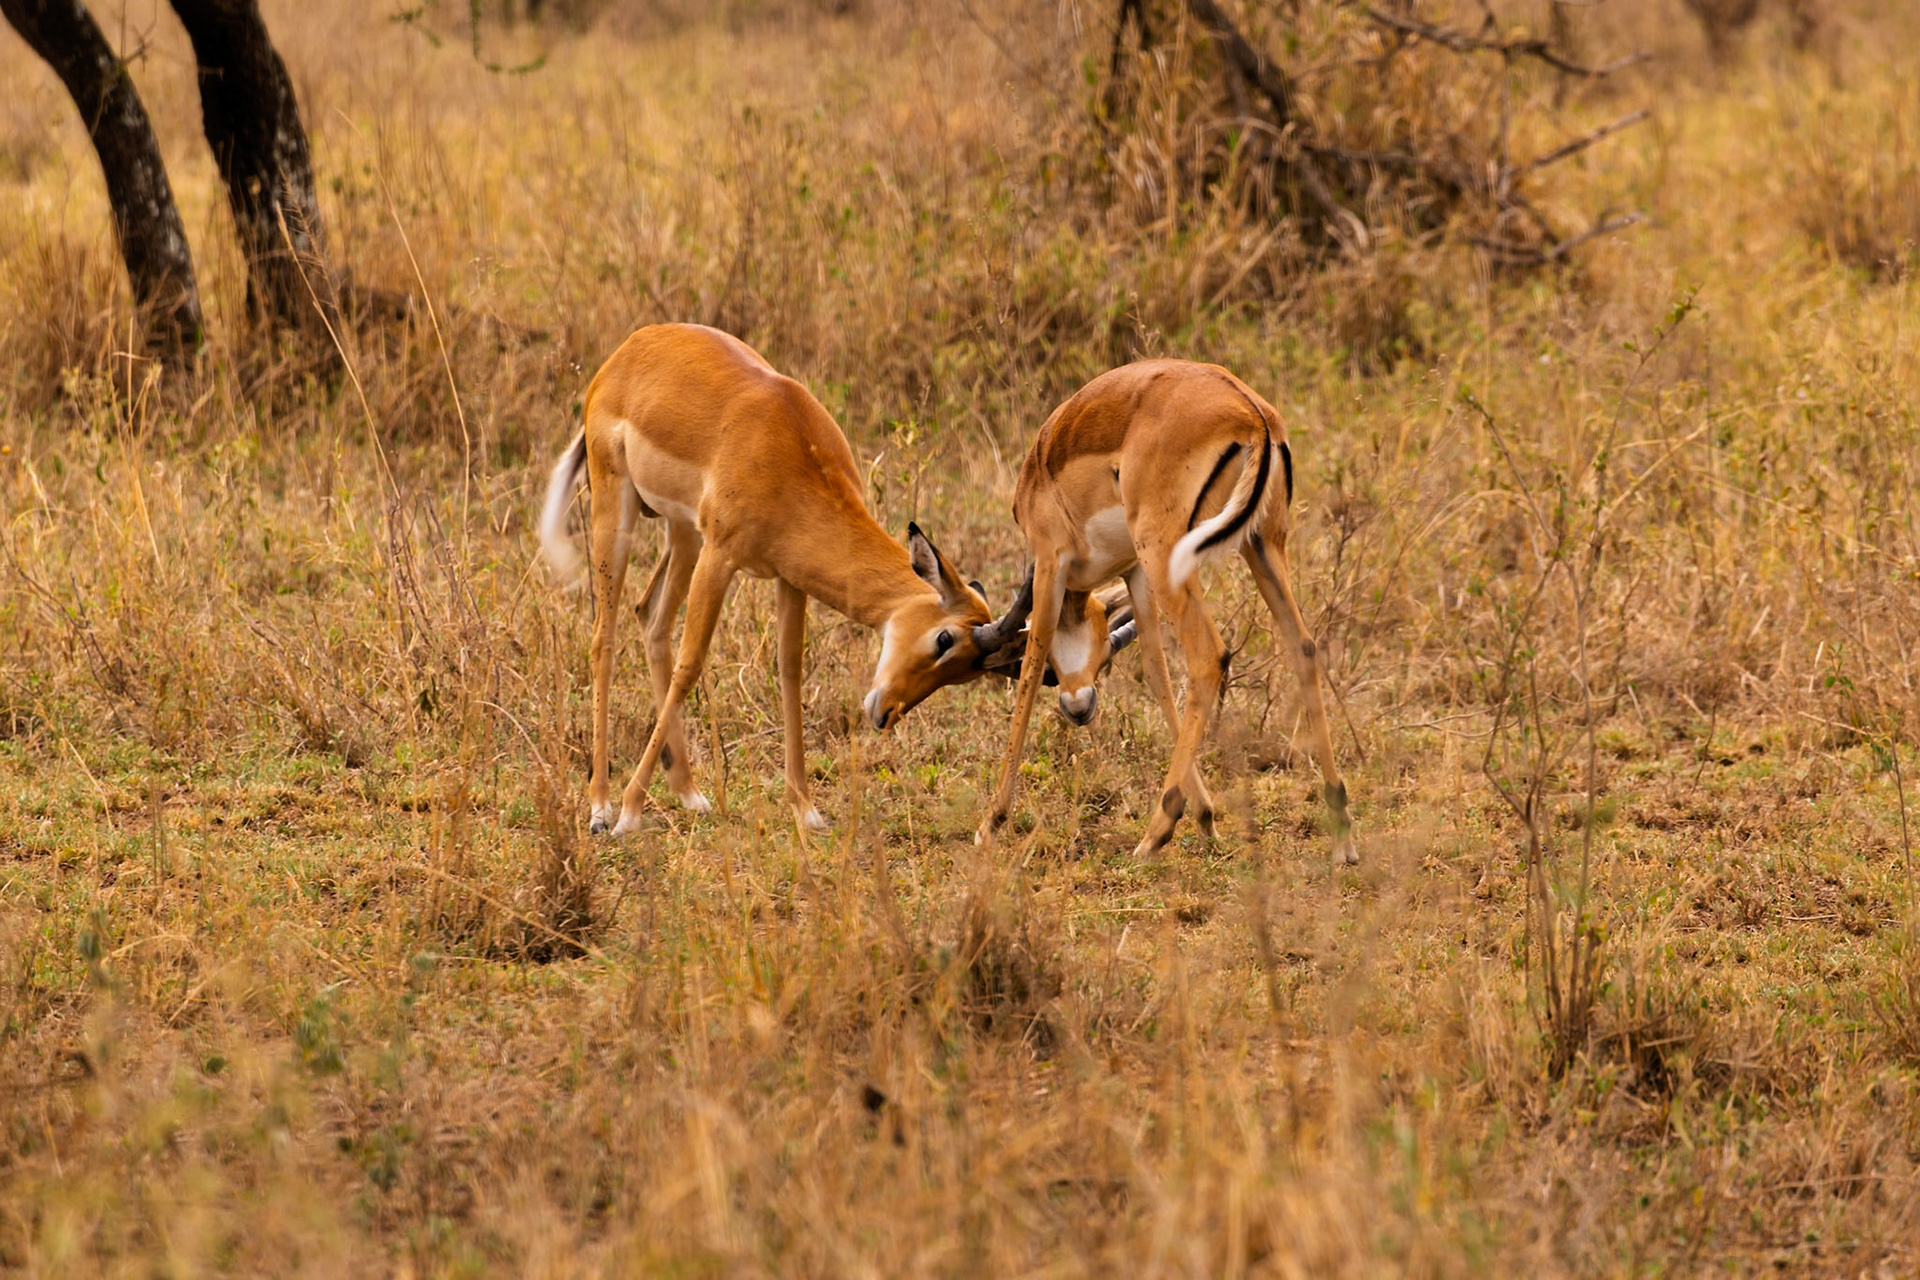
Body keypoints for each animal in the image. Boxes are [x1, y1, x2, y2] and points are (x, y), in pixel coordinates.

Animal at [538, 323, 1027, 837]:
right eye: (944, 639)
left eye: (966, 673)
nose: (884, 714)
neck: (788, 446)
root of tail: (624, 353)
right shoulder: (721, 556)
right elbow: (691, 666)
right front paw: (630, 812)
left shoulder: (791, 576)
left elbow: (790, 671)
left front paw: (806, 810)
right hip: (619, 507)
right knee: (604, 639)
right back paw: (601, 807)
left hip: (683, 531)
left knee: (651, 619)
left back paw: (690, 794)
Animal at [977, 359, 1356, 863]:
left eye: (1062, 675)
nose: (1079, 708)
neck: (1042, 470)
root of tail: (1250, 412)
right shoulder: (1135, 573)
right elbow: (1156, 673)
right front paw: (1207, 818)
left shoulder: (1050, 565)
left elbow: (1030, 669)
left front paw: (990, 823)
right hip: (1261, 544)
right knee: (1304, 648)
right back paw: (1342, 833)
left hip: (1167, 550)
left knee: (1209, 656)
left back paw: (1153, 834)